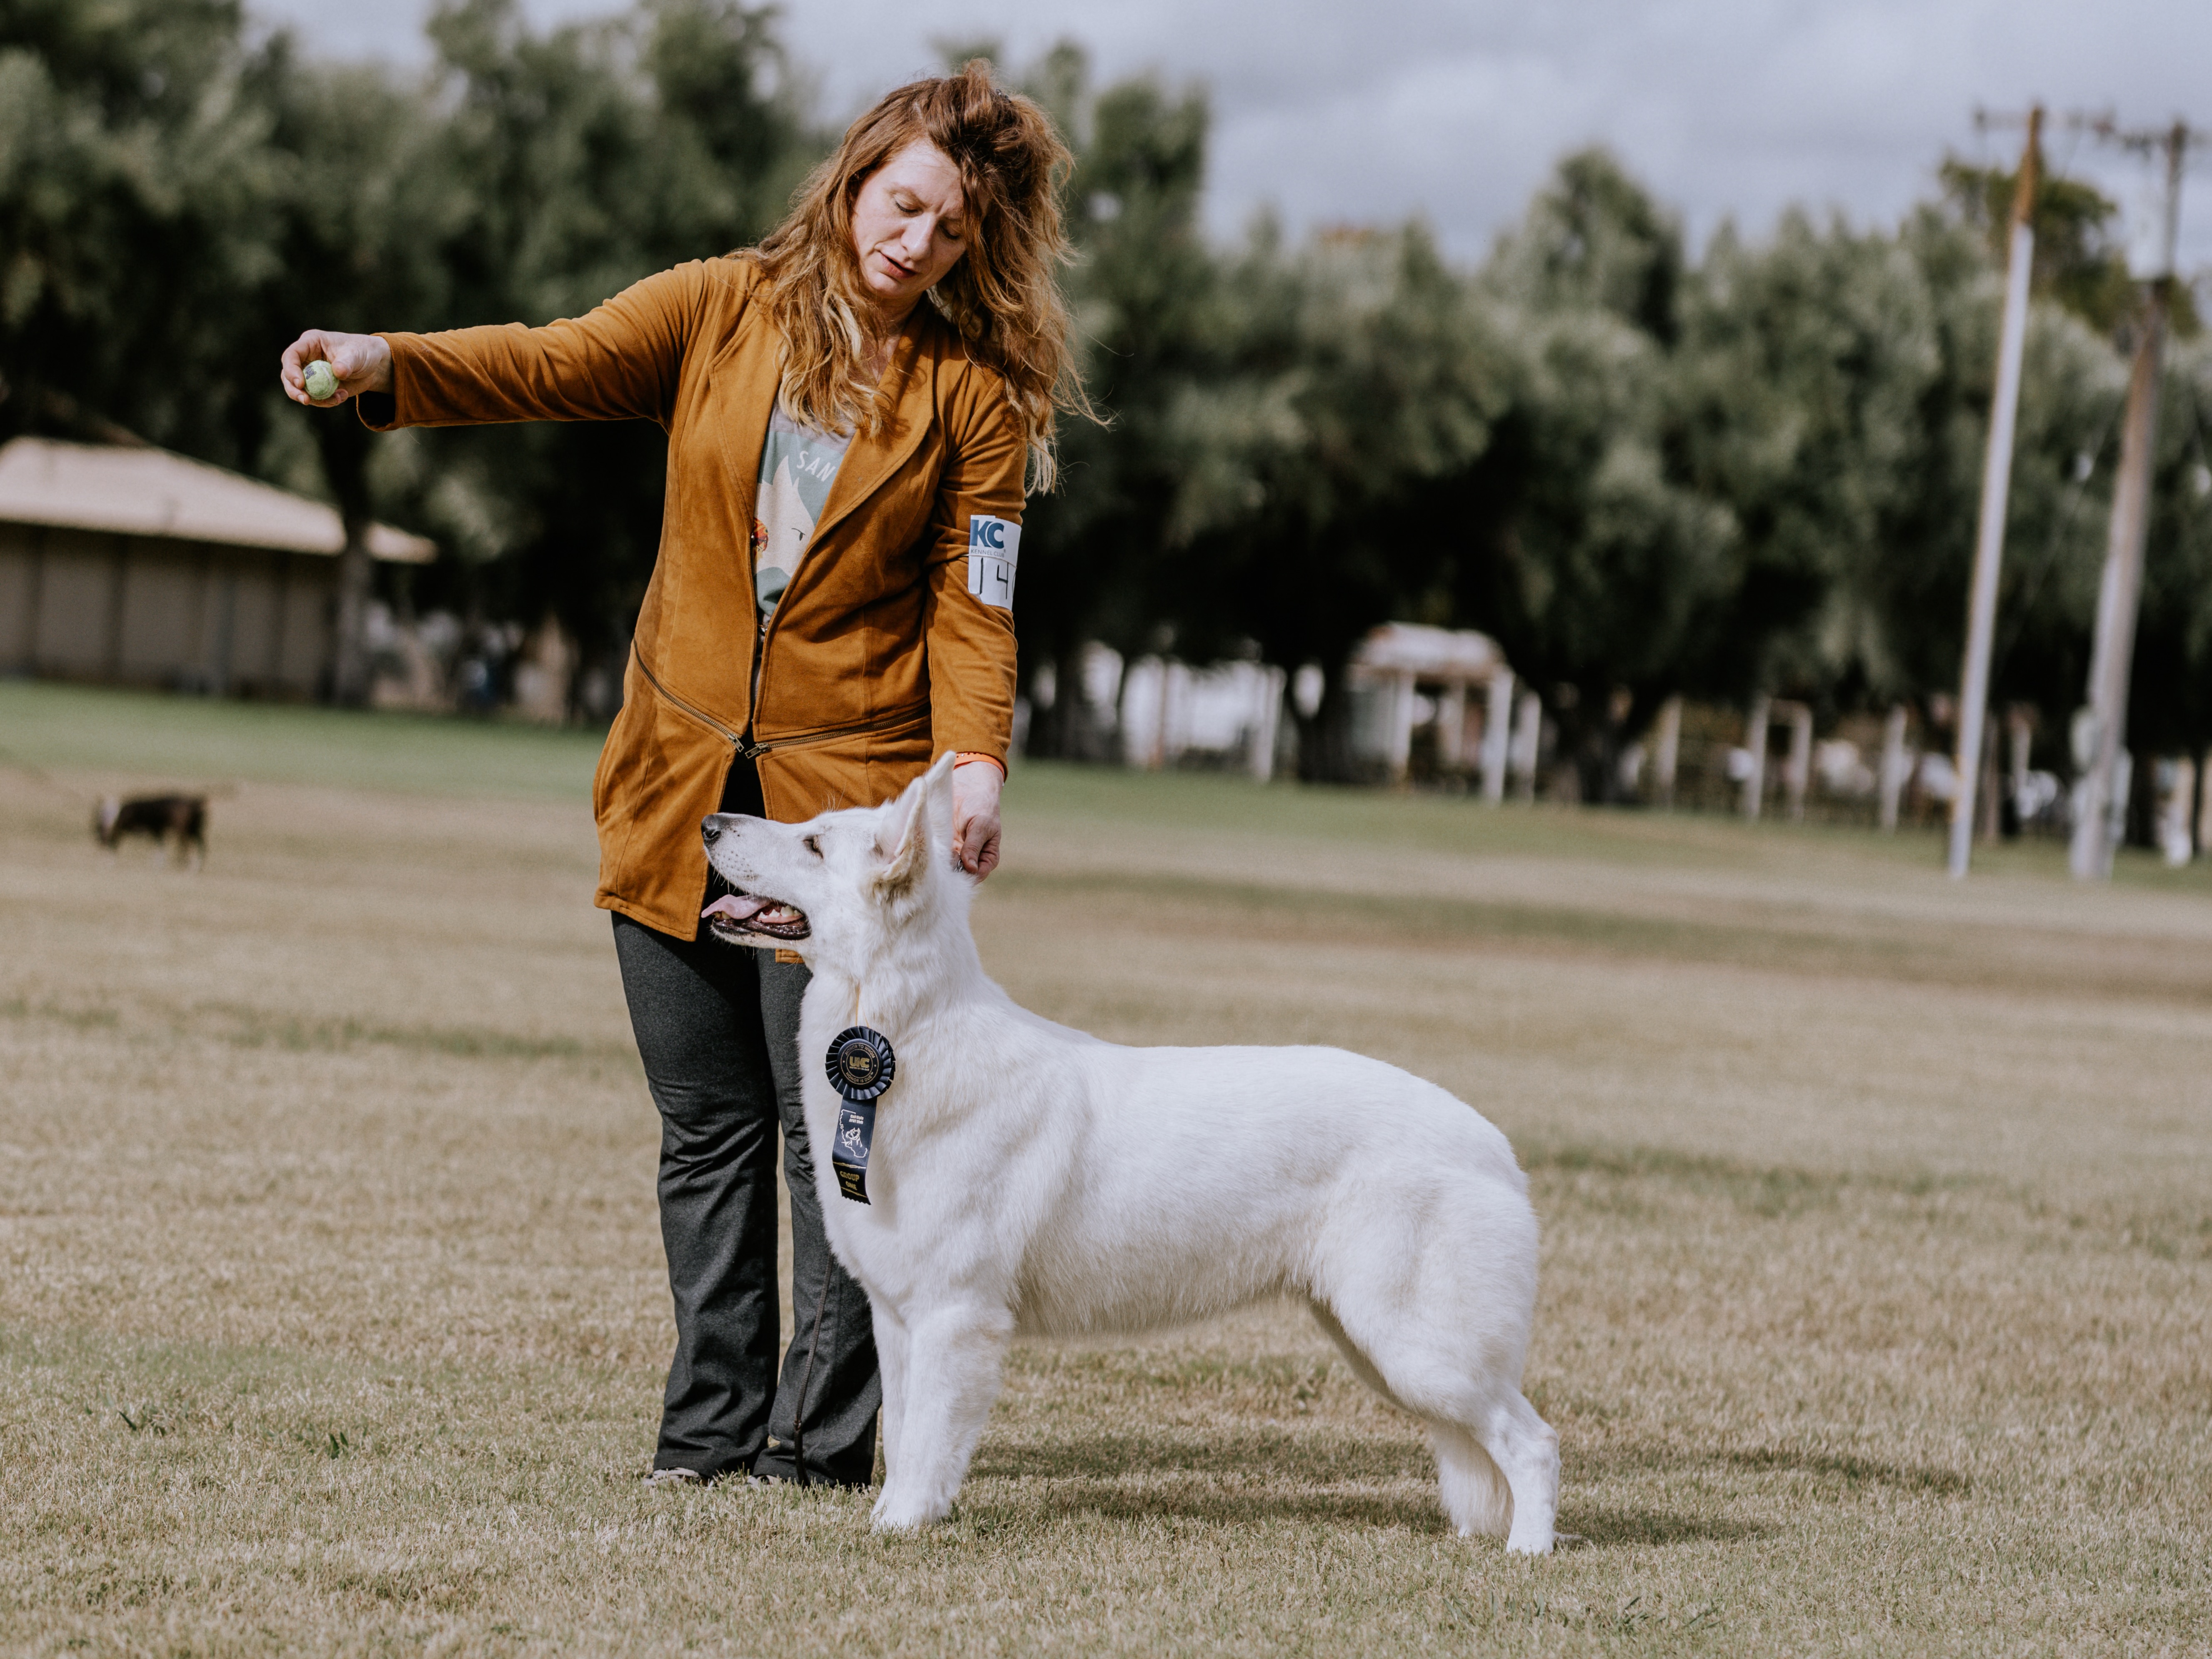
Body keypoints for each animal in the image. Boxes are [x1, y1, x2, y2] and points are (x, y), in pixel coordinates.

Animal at [703, 756, 1557, 1557]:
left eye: (814, 844)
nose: (710, 823)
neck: (903, 1035)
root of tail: (1496, 1150)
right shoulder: (899, 1319)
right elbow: (907, 1431)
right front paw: (893, 1517)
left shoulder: (954, 1317)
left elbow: (926, 1443)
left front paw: (905, 1526)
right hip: (1374, 1342)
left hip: (1416, 1347)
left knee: (1533, 1443)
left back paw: (1527, 1551)